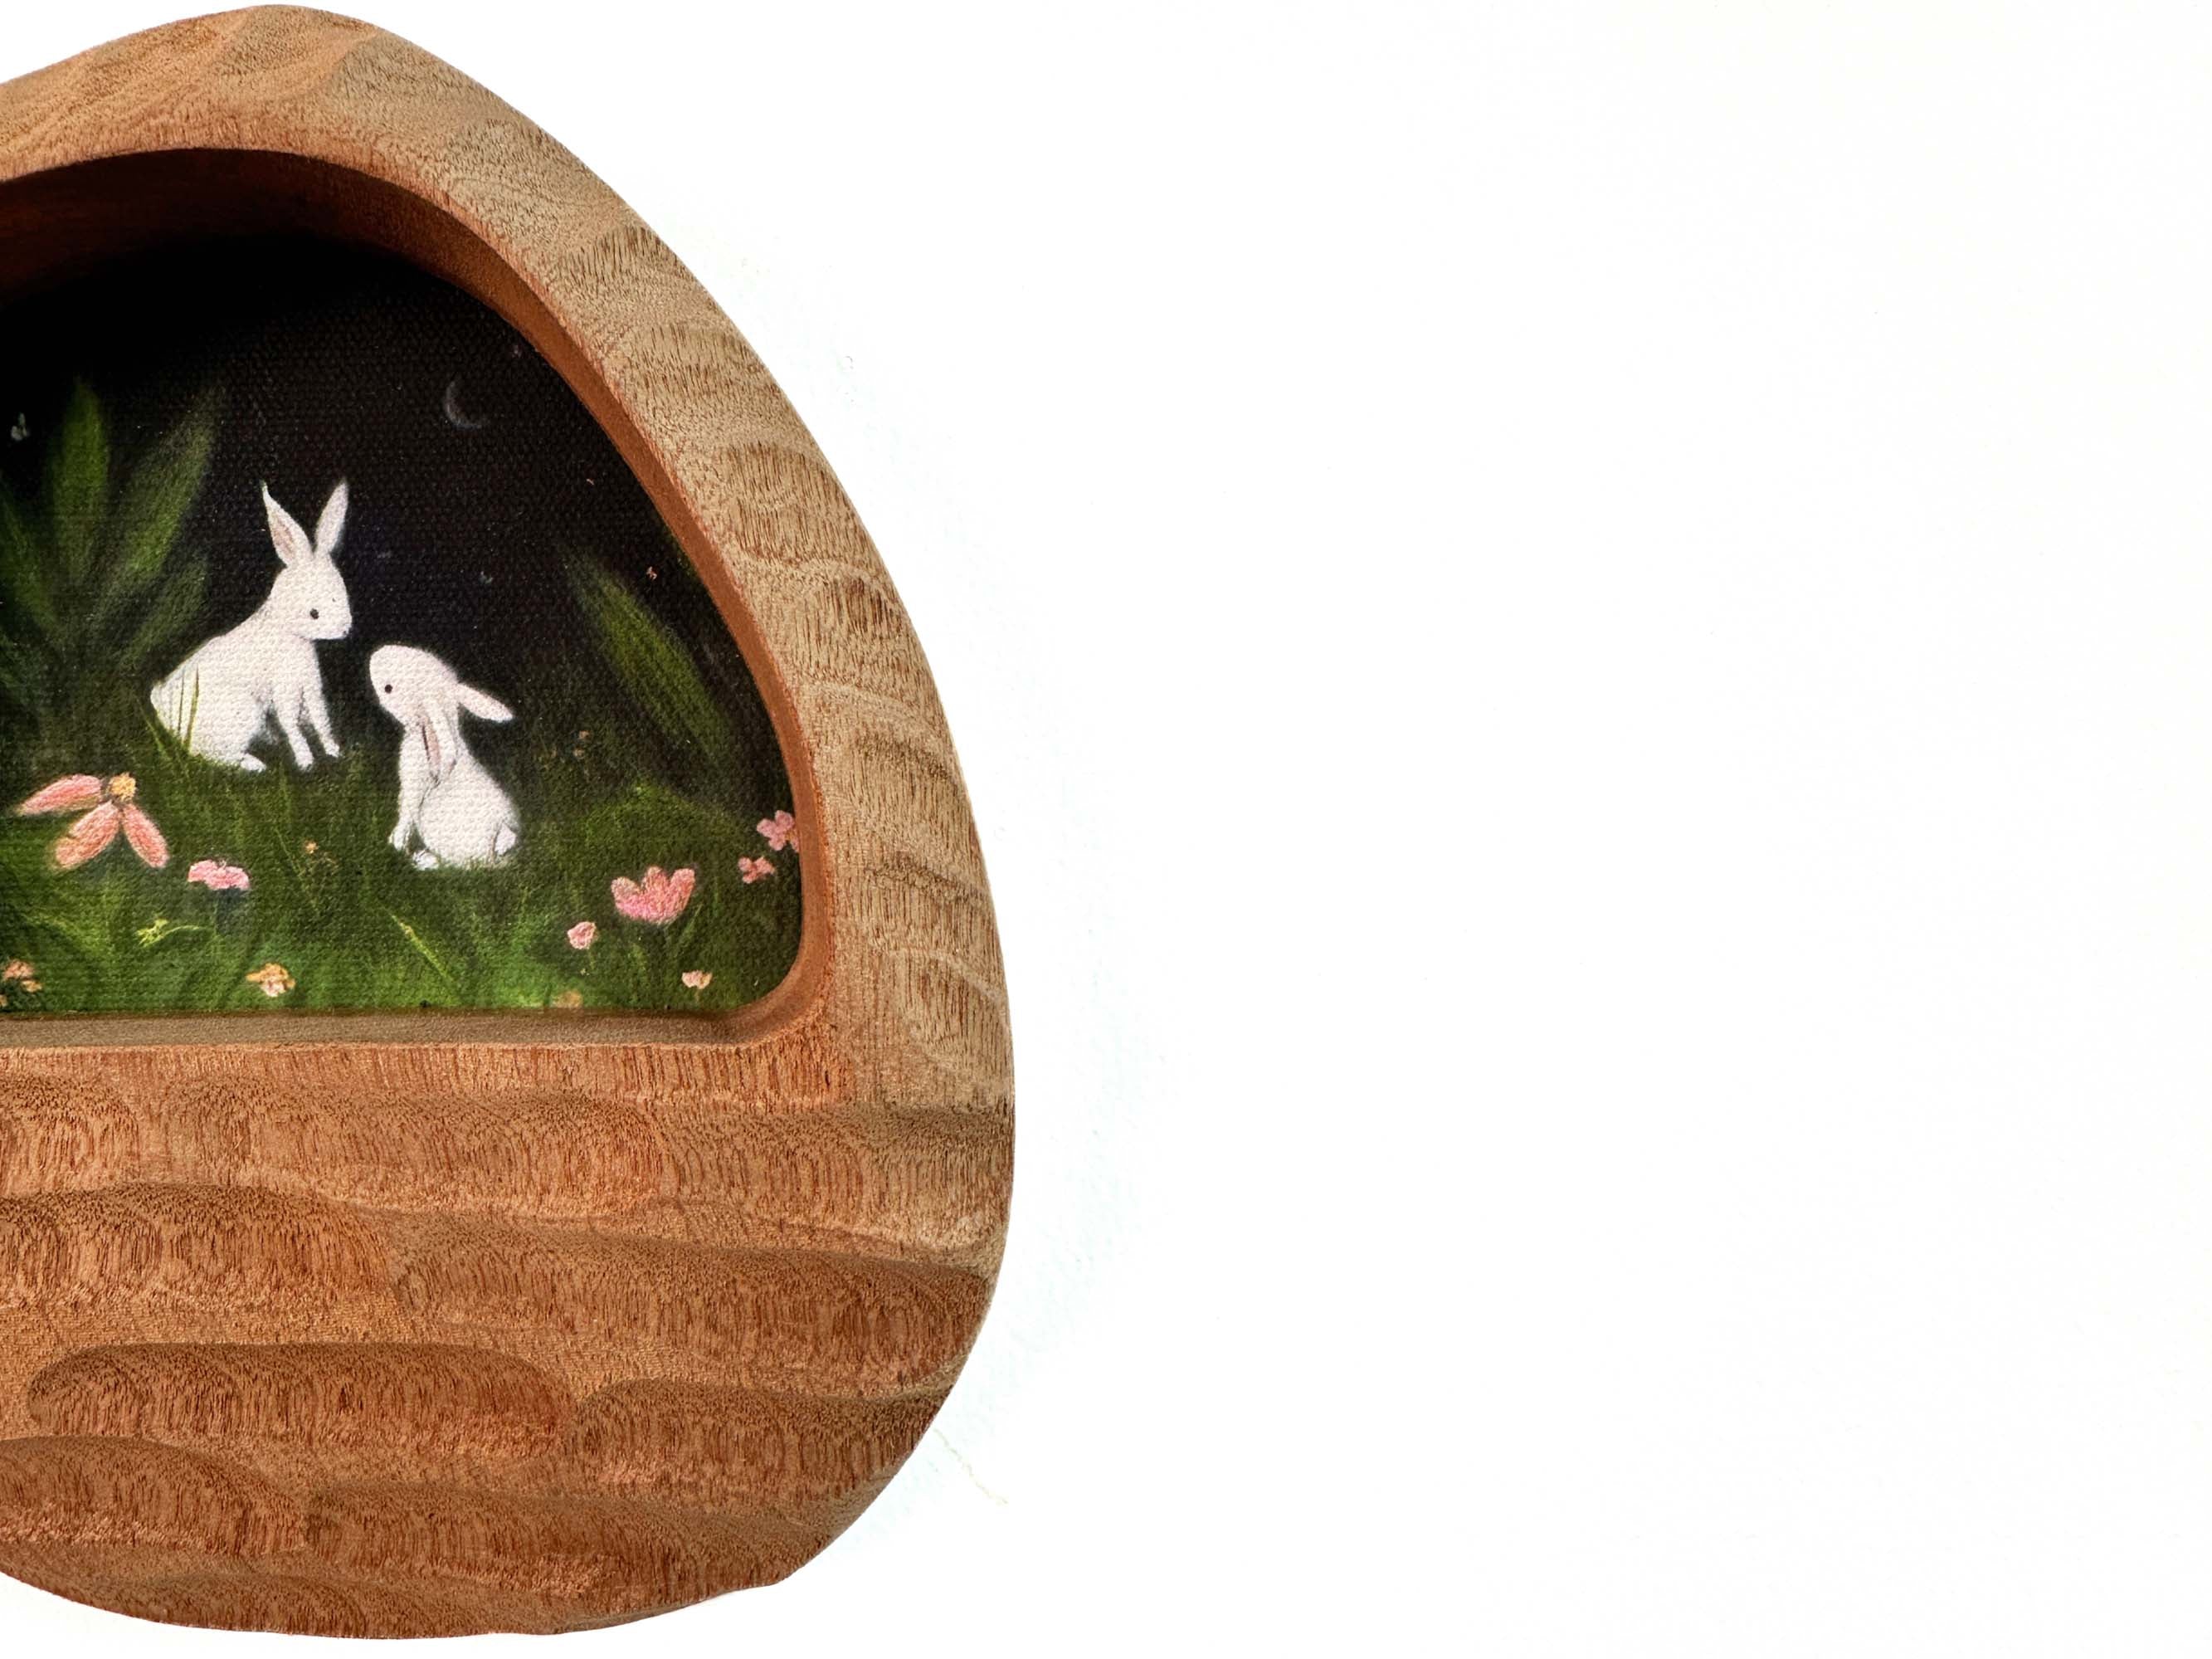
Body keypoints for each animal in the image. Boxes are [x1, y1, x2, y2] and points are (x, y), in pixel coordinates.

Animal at [151, 481, 352, 772]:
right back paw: (256, 764)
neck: (289, 633)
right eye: (314, 613)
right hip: (243, 712)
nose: (345, 629)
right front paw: (306, 762)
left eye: (343, 597)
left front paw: (334, 751)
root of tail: (164, 715)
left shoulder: (312, 687)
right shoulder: (285, 686)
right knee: (211, 755)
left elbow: (320, 719)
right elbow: (291, 722)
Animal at [369, 644, 521, 869]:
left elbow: (405, 818)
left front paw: (395, 845)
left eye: (388, 688)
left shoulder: (412, 789)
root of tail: (490, 857)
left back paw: (425, 861)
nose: (377, 653)